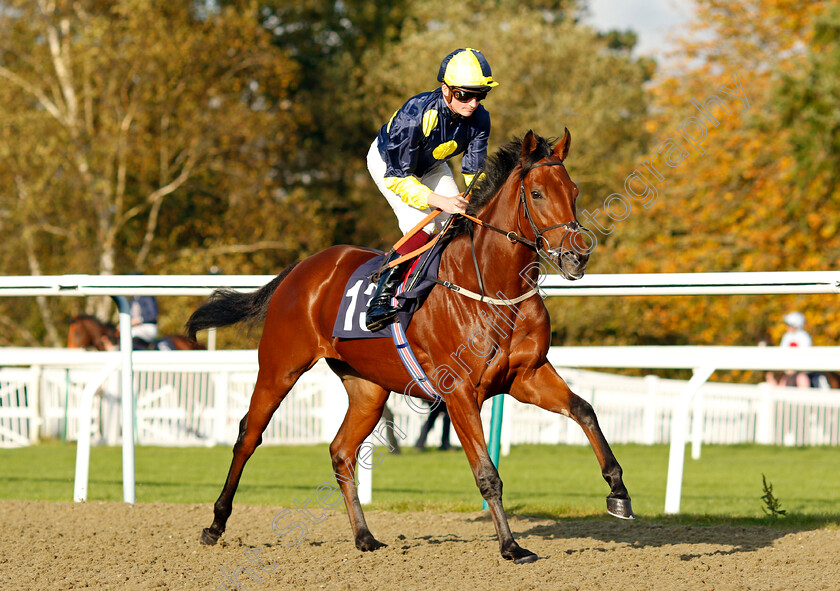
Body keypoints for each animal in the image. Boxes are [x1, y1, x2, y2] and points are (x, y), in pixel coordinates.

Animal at [184, 130, 632, 564]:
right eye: (537, 193)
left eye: (573, 190)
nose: (577, 255)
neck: (493, 286)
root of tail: (301, 268)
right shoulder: (460, 392)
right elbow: (487, 473)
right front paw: (511, 546)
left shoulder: (527, 375)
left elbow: (584, 410)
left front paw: (619, 494)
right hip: (280, 367)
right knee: (249, 435)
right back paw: (215, 524)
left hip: (367, 387)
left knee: (341, 450)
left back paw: (364, 536)